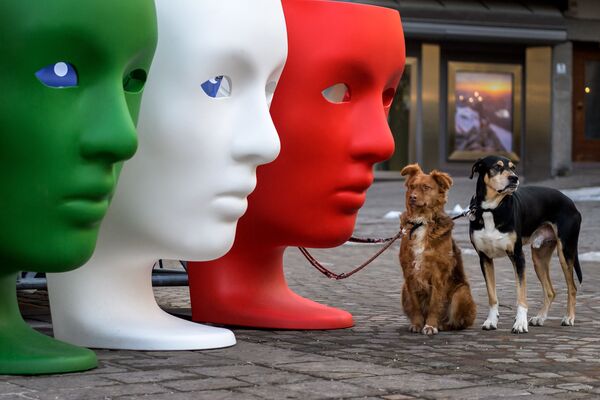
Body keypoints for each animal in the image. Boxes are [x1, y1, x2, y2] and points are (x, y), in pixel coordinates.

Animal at [400, 164, 476, 336]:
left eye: (426, 187)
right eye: (412, 186)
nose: (412, 197)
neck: (421, 222)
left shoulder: (438, 274)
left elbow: (435, 303)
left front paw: (430, 325)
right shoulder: (409, 273)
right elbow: (415, 304)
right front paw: (417, 324)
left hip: (461, 293)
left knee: (456, 323)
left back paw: (442, 325)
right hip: (404, 290)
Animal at [468, 155, 580, 332]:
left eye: (513, 168)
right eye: (497, 167)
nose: (514, 178)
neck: (491, 209)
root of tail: (571, 202)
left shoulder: (518, 257)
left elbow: (521, 294)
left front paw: (520, 323)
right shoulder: (484, 258)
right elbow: (492, 296)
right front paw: (491, 321)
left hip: (566, 252)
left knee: (572, 287)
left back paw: (569, 318)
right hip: (539, 258)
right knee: (550, 291)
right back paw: (540, 318)